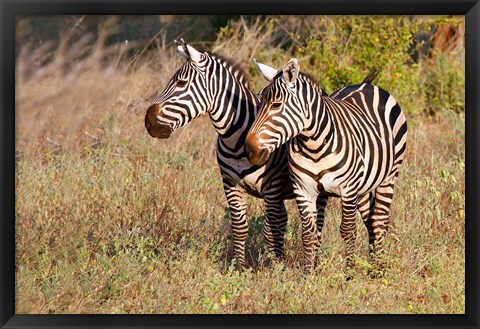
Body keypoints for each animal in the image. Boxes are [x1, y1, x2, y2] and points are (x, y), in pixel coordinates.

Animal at [246, 57, 406, 272]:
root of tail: (366, 84)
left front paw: (350, 273)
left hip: (388, 177)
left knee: (379, 221)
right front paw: (308, 274)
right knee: (368, 219)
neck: (314, 145)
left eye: (276, 105)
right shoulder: (303, 190)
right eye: (259, 102)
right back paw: (372, 264)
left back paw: (379, 270)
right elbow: (308, 234)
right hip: (361, 186)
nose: (250, 149)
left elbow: (348, 230)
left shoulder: (348, 189)